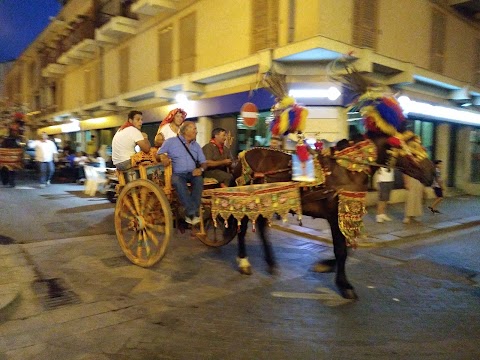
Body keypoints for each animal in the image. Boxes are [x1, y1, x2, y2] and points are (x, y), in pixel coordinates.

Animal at [229, 131, 436, 300]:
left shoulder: (346, 216)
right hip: (245, 204)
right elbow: (341, 250)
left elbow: (347, 248)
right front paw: (344, 285)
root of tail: (242, 156)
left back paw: (271, 263)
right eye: (413, 150)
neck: (349, 169)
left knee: (262, 230)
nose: (433, 173)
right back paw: (244, 262)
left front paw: (326, 266)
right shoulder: (336, 216)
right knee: (242, 230)